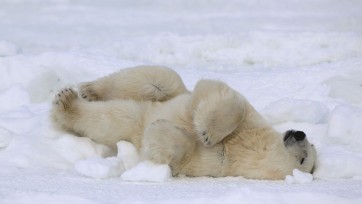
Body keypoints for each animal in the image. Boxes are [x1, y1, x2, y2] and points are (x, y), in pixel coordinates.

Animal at [51, 65, 316, 180]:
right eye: (312, 146)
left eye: (304, 160)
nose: (300, 133)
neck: (244, 149)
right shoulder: (250, 122)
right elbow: (226, 96)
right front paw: (207, 131)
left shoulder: (217, 165)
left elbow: (178, 155)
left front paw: (160, 129)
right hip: (167, 90)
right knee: (157, 79)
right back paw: (88, 90)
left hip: (131, 117)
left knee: (114, 119)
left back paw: (66, 105)